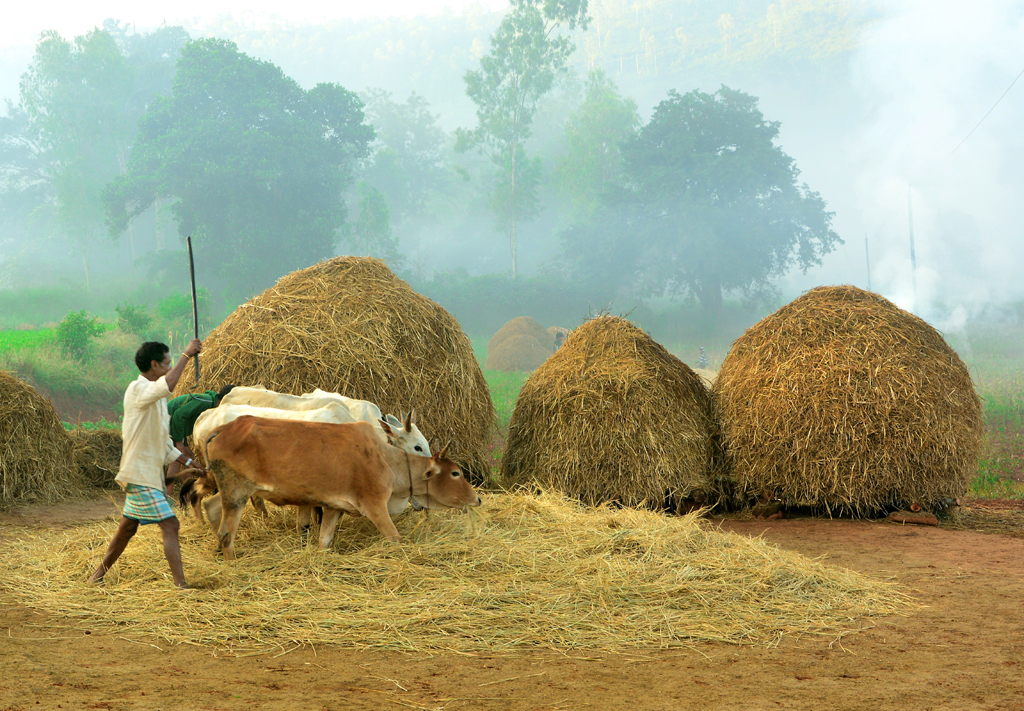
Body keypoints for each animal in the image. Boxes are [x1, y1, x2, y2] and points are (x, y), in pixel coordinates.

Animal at [204, 416, 481, 560]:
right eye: (456, 473)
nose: (477, 499)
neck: (386, 459)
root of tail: (221, 429)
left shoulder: (334, 508)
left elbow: (323, 540)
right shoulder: (375, 507)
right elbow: (395, 539)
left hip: (231, 492)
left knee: (211, 507)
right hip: (237, 494)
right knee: (226, 533)